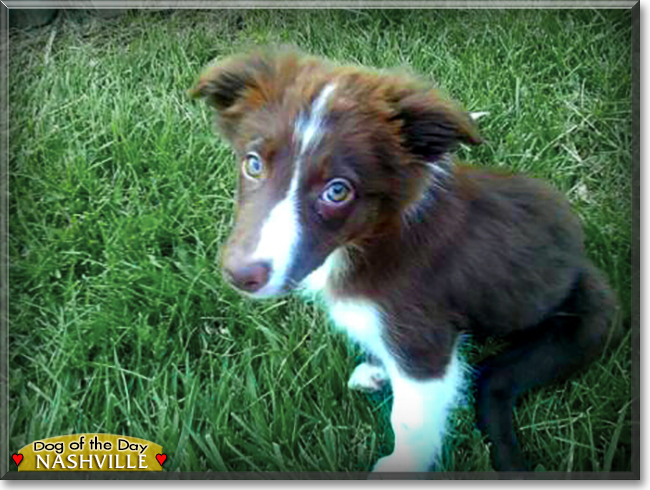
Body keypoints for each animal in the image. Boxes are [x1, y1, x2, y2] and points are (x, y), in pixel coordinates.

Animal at [189, 47, 616, 472]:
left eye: (337, 191)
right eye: (253, 164)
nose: (239, 276)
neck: (374, 237)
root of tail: (584, 261)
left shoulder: (422, 336)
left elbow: (411, 416)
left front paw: (400, 465)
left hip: (582, 327)